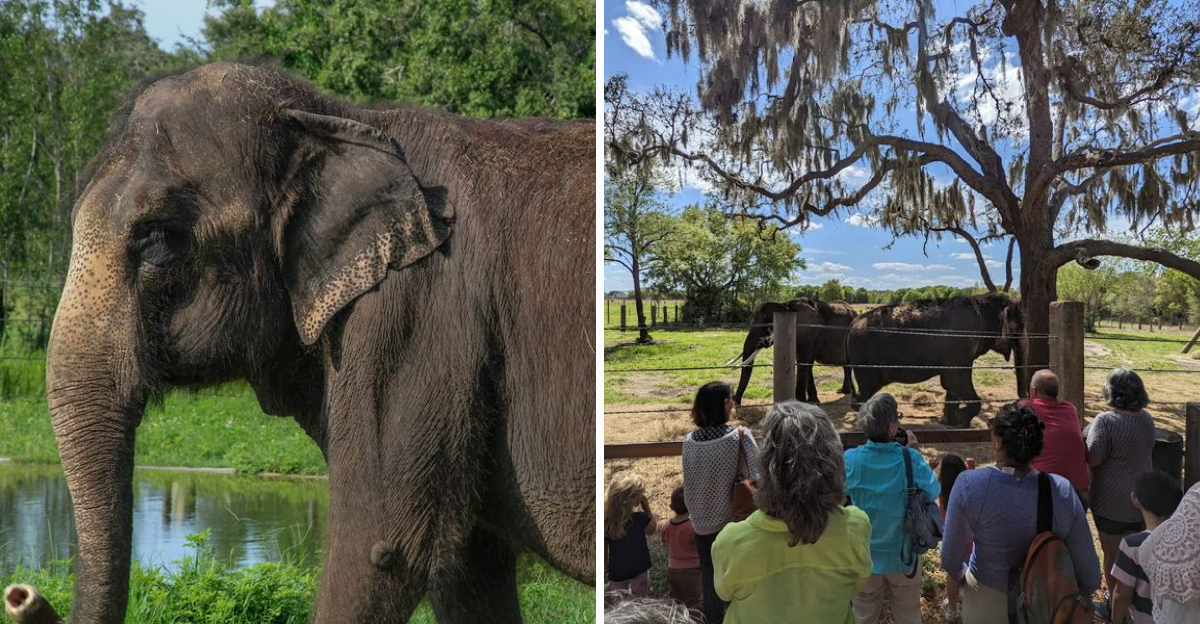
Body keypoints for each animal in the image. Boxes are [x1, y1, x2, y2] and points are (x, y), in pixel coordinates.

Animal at [43, 63, 594, 624]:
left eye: (155, 236)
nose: (28, 595)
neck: (337, 120)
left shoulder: (412, 317)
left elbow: (381, 545)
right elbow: (467, 565)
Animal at [847, 292, 1027, 427]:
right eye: (1019, 327)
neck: (982, 302)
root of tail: (853, 322)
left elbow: (952, 384)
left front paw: (950, 422)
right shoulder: (961, 343)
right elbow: (954, 381)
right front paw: (960, 418)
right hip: (865, 359)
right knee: (866, 390)